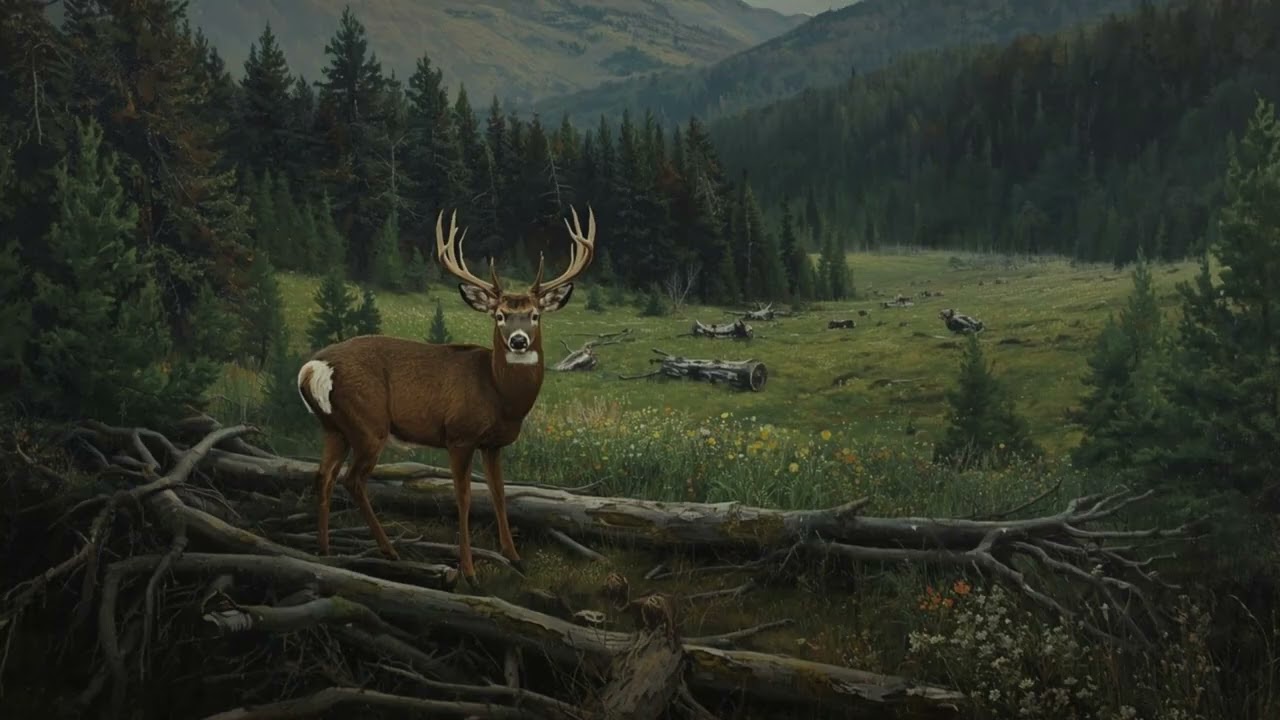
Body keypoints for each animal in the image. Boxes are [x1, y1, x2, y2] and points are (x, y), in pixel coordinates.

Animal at [295, 206, 596, 587]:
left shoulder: (493, 444)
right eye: (499, 315)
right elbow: (464, 498)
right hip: (368, 424)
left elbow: (500, 494)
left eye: (534, 315)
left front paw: (515, 558)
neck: (499, 396)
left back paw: (325, 551)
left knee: (324, 476)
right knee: (353, 479)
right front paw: (468, 571)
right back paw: (388, 550)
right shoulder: (459, 435)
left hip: (335, 428)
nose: (518, 341)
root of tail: (312, 367)